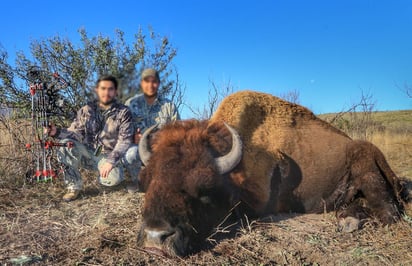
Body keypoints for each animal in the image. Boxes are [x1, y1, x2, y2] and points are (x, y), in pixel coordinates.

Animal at [136, 90, 406, 256]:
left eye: (204, 189)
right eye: (149, 183)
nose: (155, 238)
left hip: (369, 170)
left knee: (389, 212)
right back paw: (347, 220)